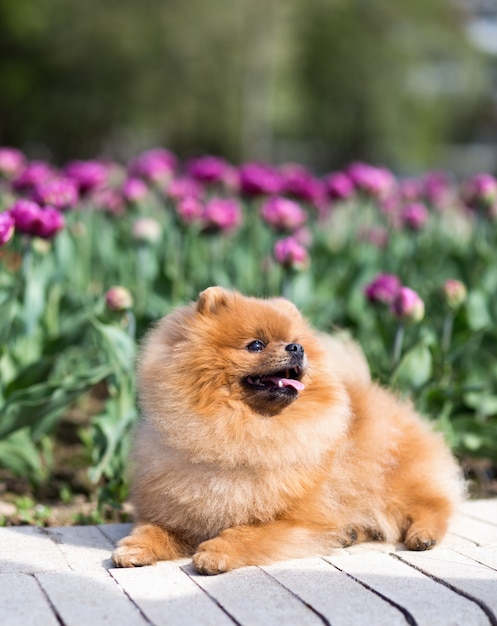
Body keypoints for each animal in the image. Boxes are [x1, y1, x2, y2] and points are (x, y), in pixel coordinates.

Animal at [112, 286, 462, 572]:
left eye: (298, 343)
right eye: (255, 345)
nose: (296, 348)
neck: (240, 430)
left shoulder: (297, 520)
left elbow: (250, 533)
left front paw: (217, 552)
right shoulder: (178, 510)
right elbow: (152, 527)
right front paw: (134, 547)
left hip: (396, 480)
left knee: (434, 503)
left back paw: (423, 534)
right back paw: (351, 532)